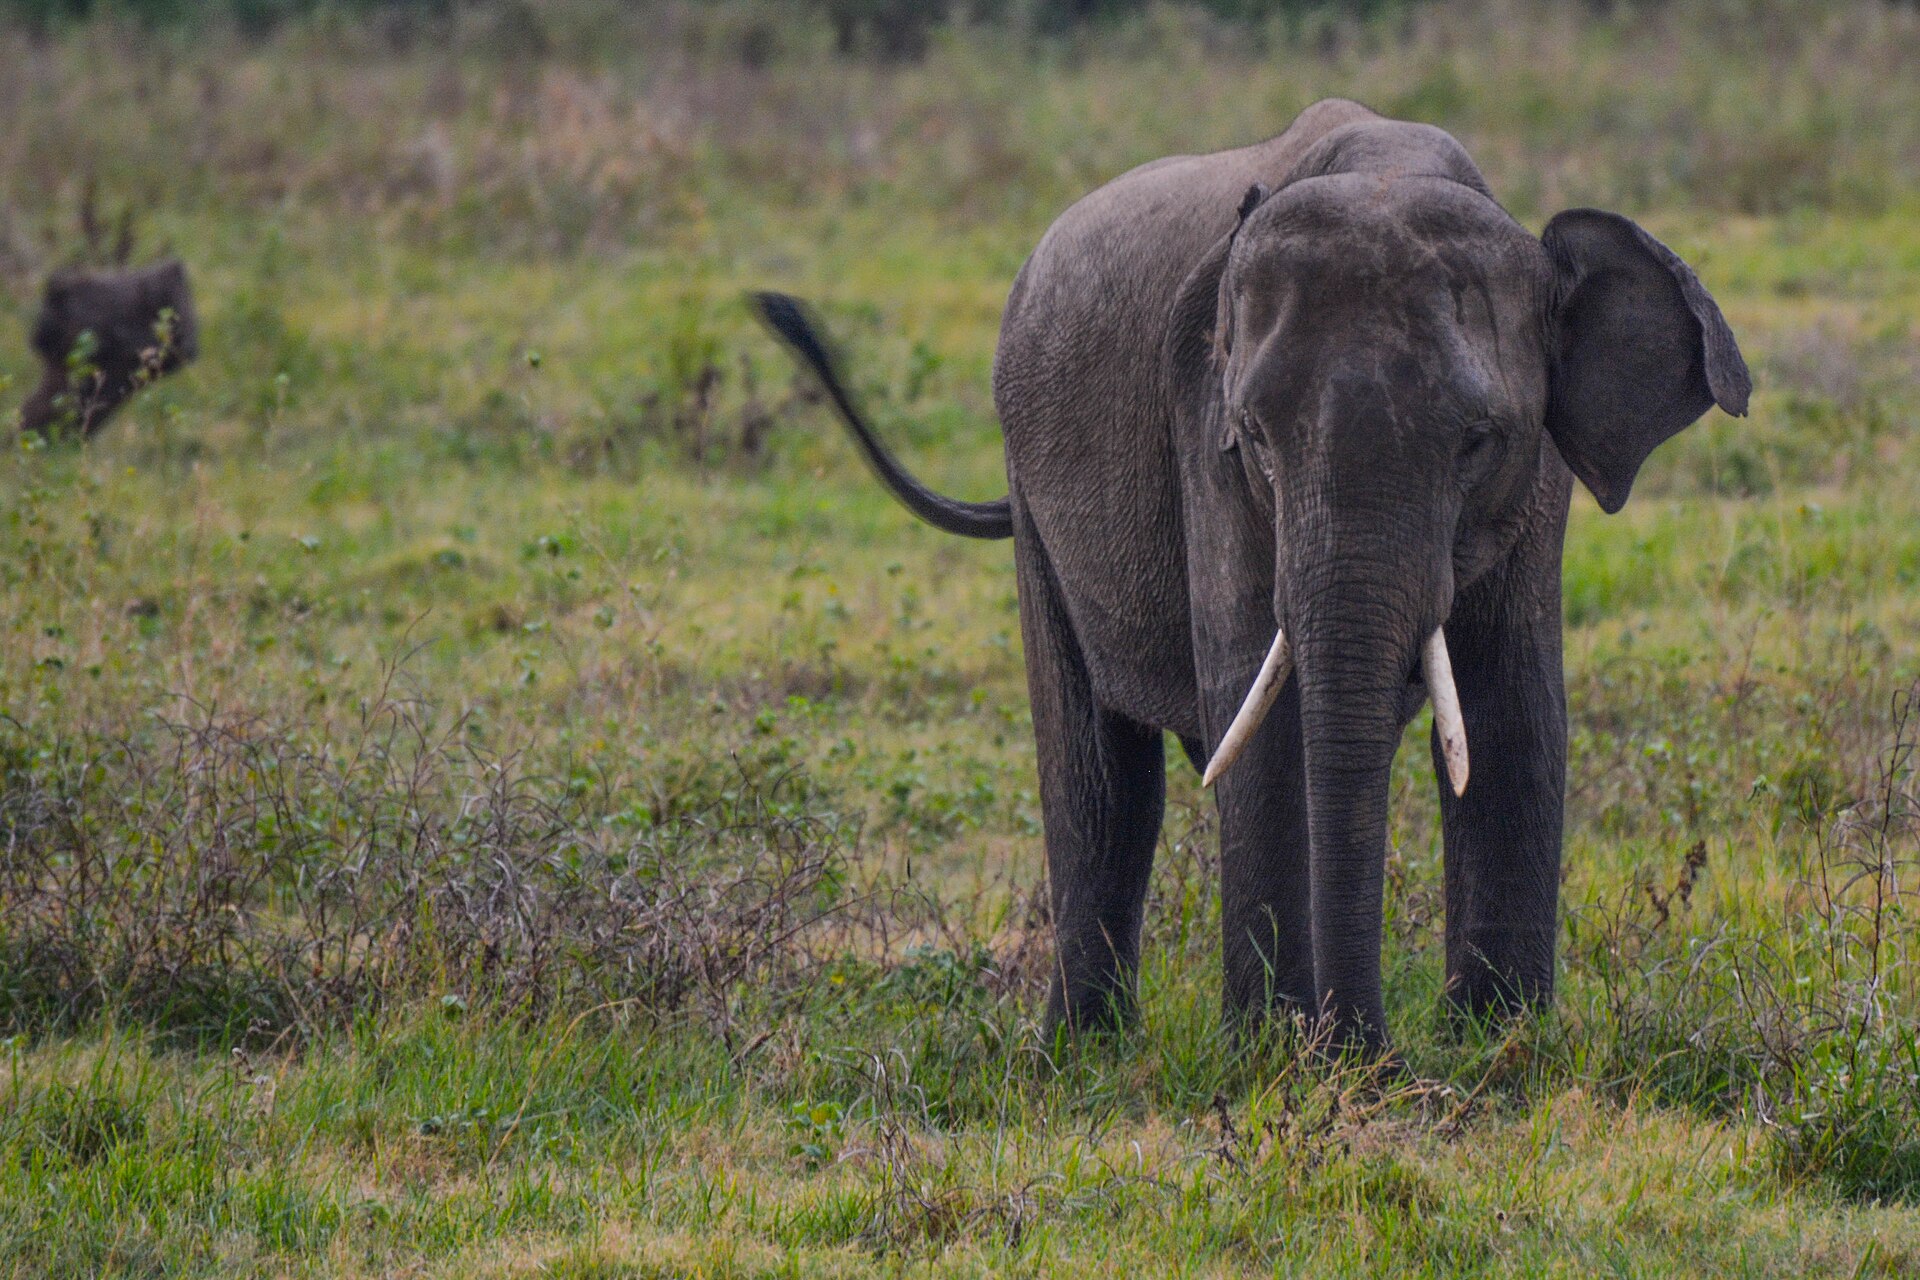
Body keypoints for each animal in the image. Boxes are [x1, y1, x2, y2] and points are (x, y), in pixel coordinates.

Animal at [753, 97, 1750, 1053]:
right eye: (1256, 438)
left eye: (1477, 441)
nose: (1370, 1051)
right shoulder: (1202, 430)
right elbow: (1258, 707)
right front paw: (1275, 1056)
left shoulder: (1537, 472)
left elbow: (1514, 711)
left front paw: (1498, 1047)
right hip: (1029, 487)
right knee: (1102, 782)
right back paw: (1078, 1056)